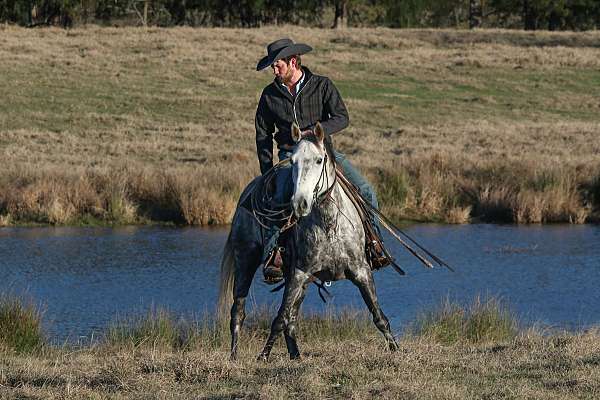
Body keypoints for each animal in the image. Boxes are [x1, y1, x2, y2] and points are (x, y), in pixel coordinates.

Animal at [217, 121, 398, 360]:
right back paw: (234, 356)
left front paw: (395, 348)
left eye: (319, 160)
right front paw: (263, 356)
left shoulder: (361, 271)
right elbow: (279, 319)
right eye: (293, 161)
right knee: (239, 311)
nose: (300, 203)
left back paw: (295, 355)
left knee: (292, 320)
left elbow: (379, 316)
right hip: (246, 261)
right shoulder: (299, 273)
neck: (330, 223)